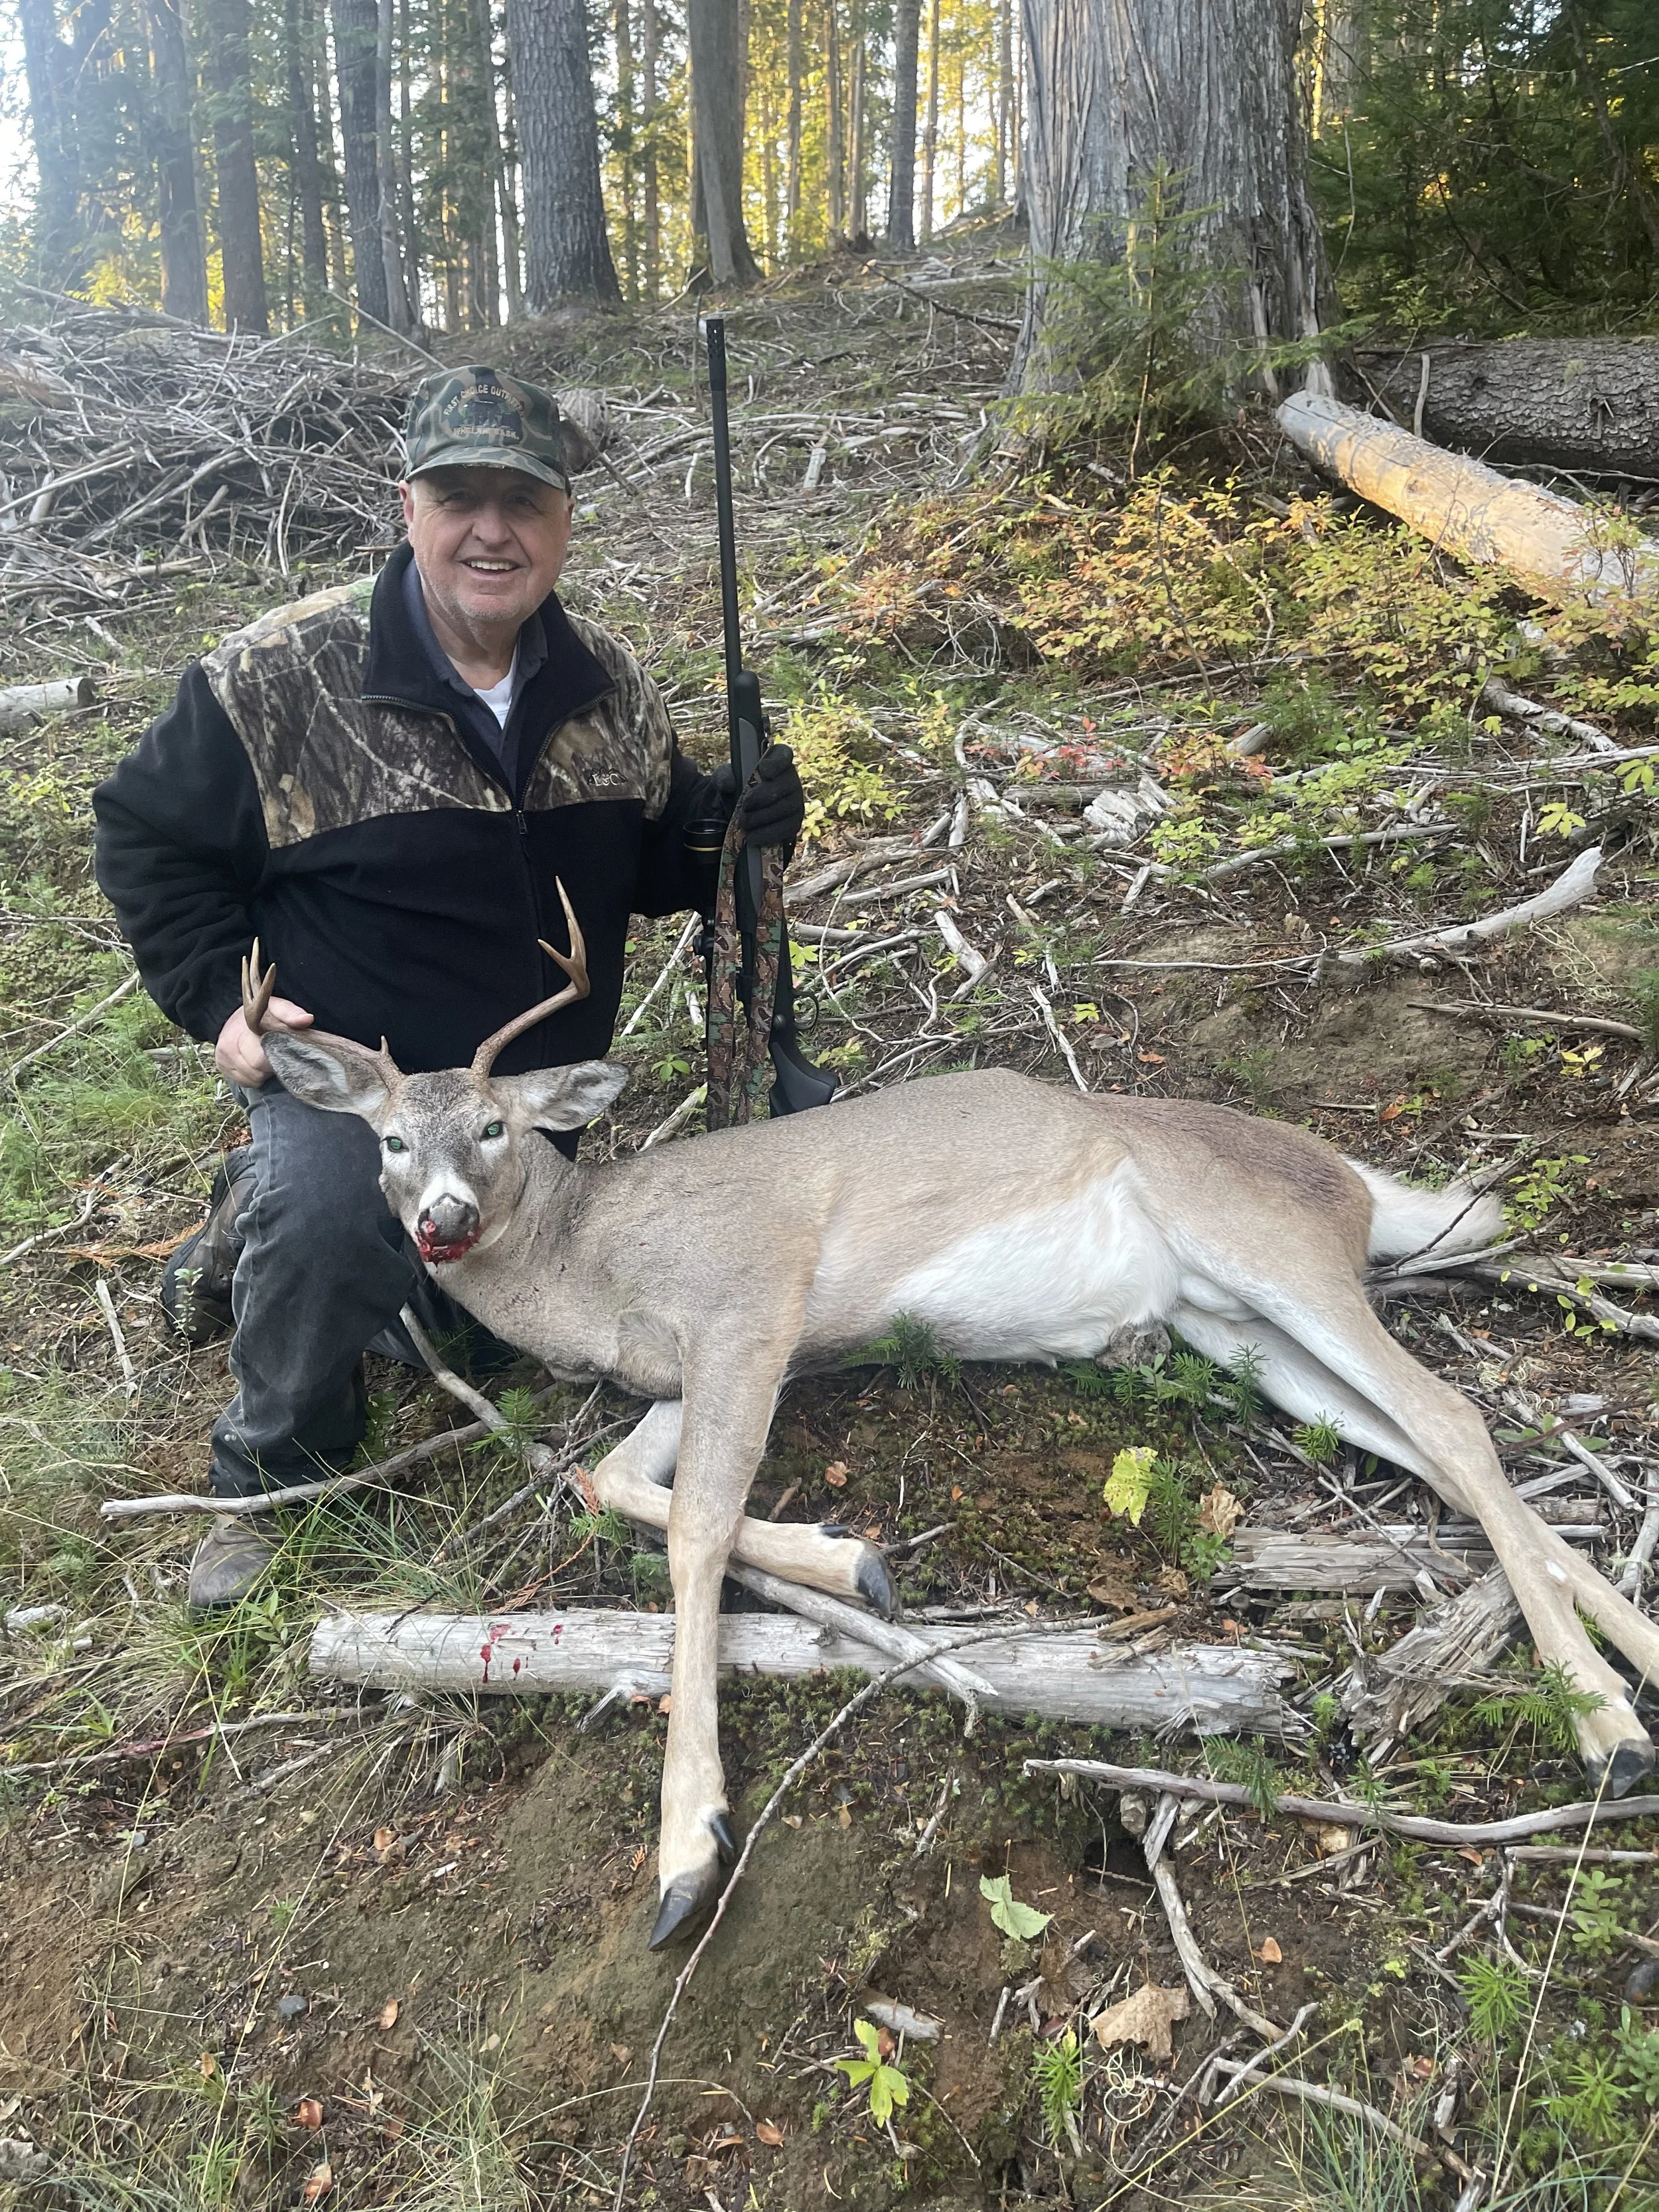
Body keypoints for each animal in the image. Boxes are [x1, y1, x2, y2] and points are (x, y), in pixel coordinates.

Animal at [240, 884, 1659, 1949]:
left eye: (492, 1125)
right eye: (387, 1141)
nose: (441, 1223)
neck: (595, 1264)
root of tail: (1354, 1175)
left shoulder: (751, 1304)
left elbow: (694, 1527)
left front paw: (688, 1847)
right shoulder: (685, 1371)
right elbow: (614, 1482)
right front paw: (851, 1560)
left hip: (1270, 1251)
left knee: (1456, 1417)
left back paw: (1606, 1726)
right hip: (1235, 1330)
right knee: (1440, 1449)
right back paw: (1632, 1673)